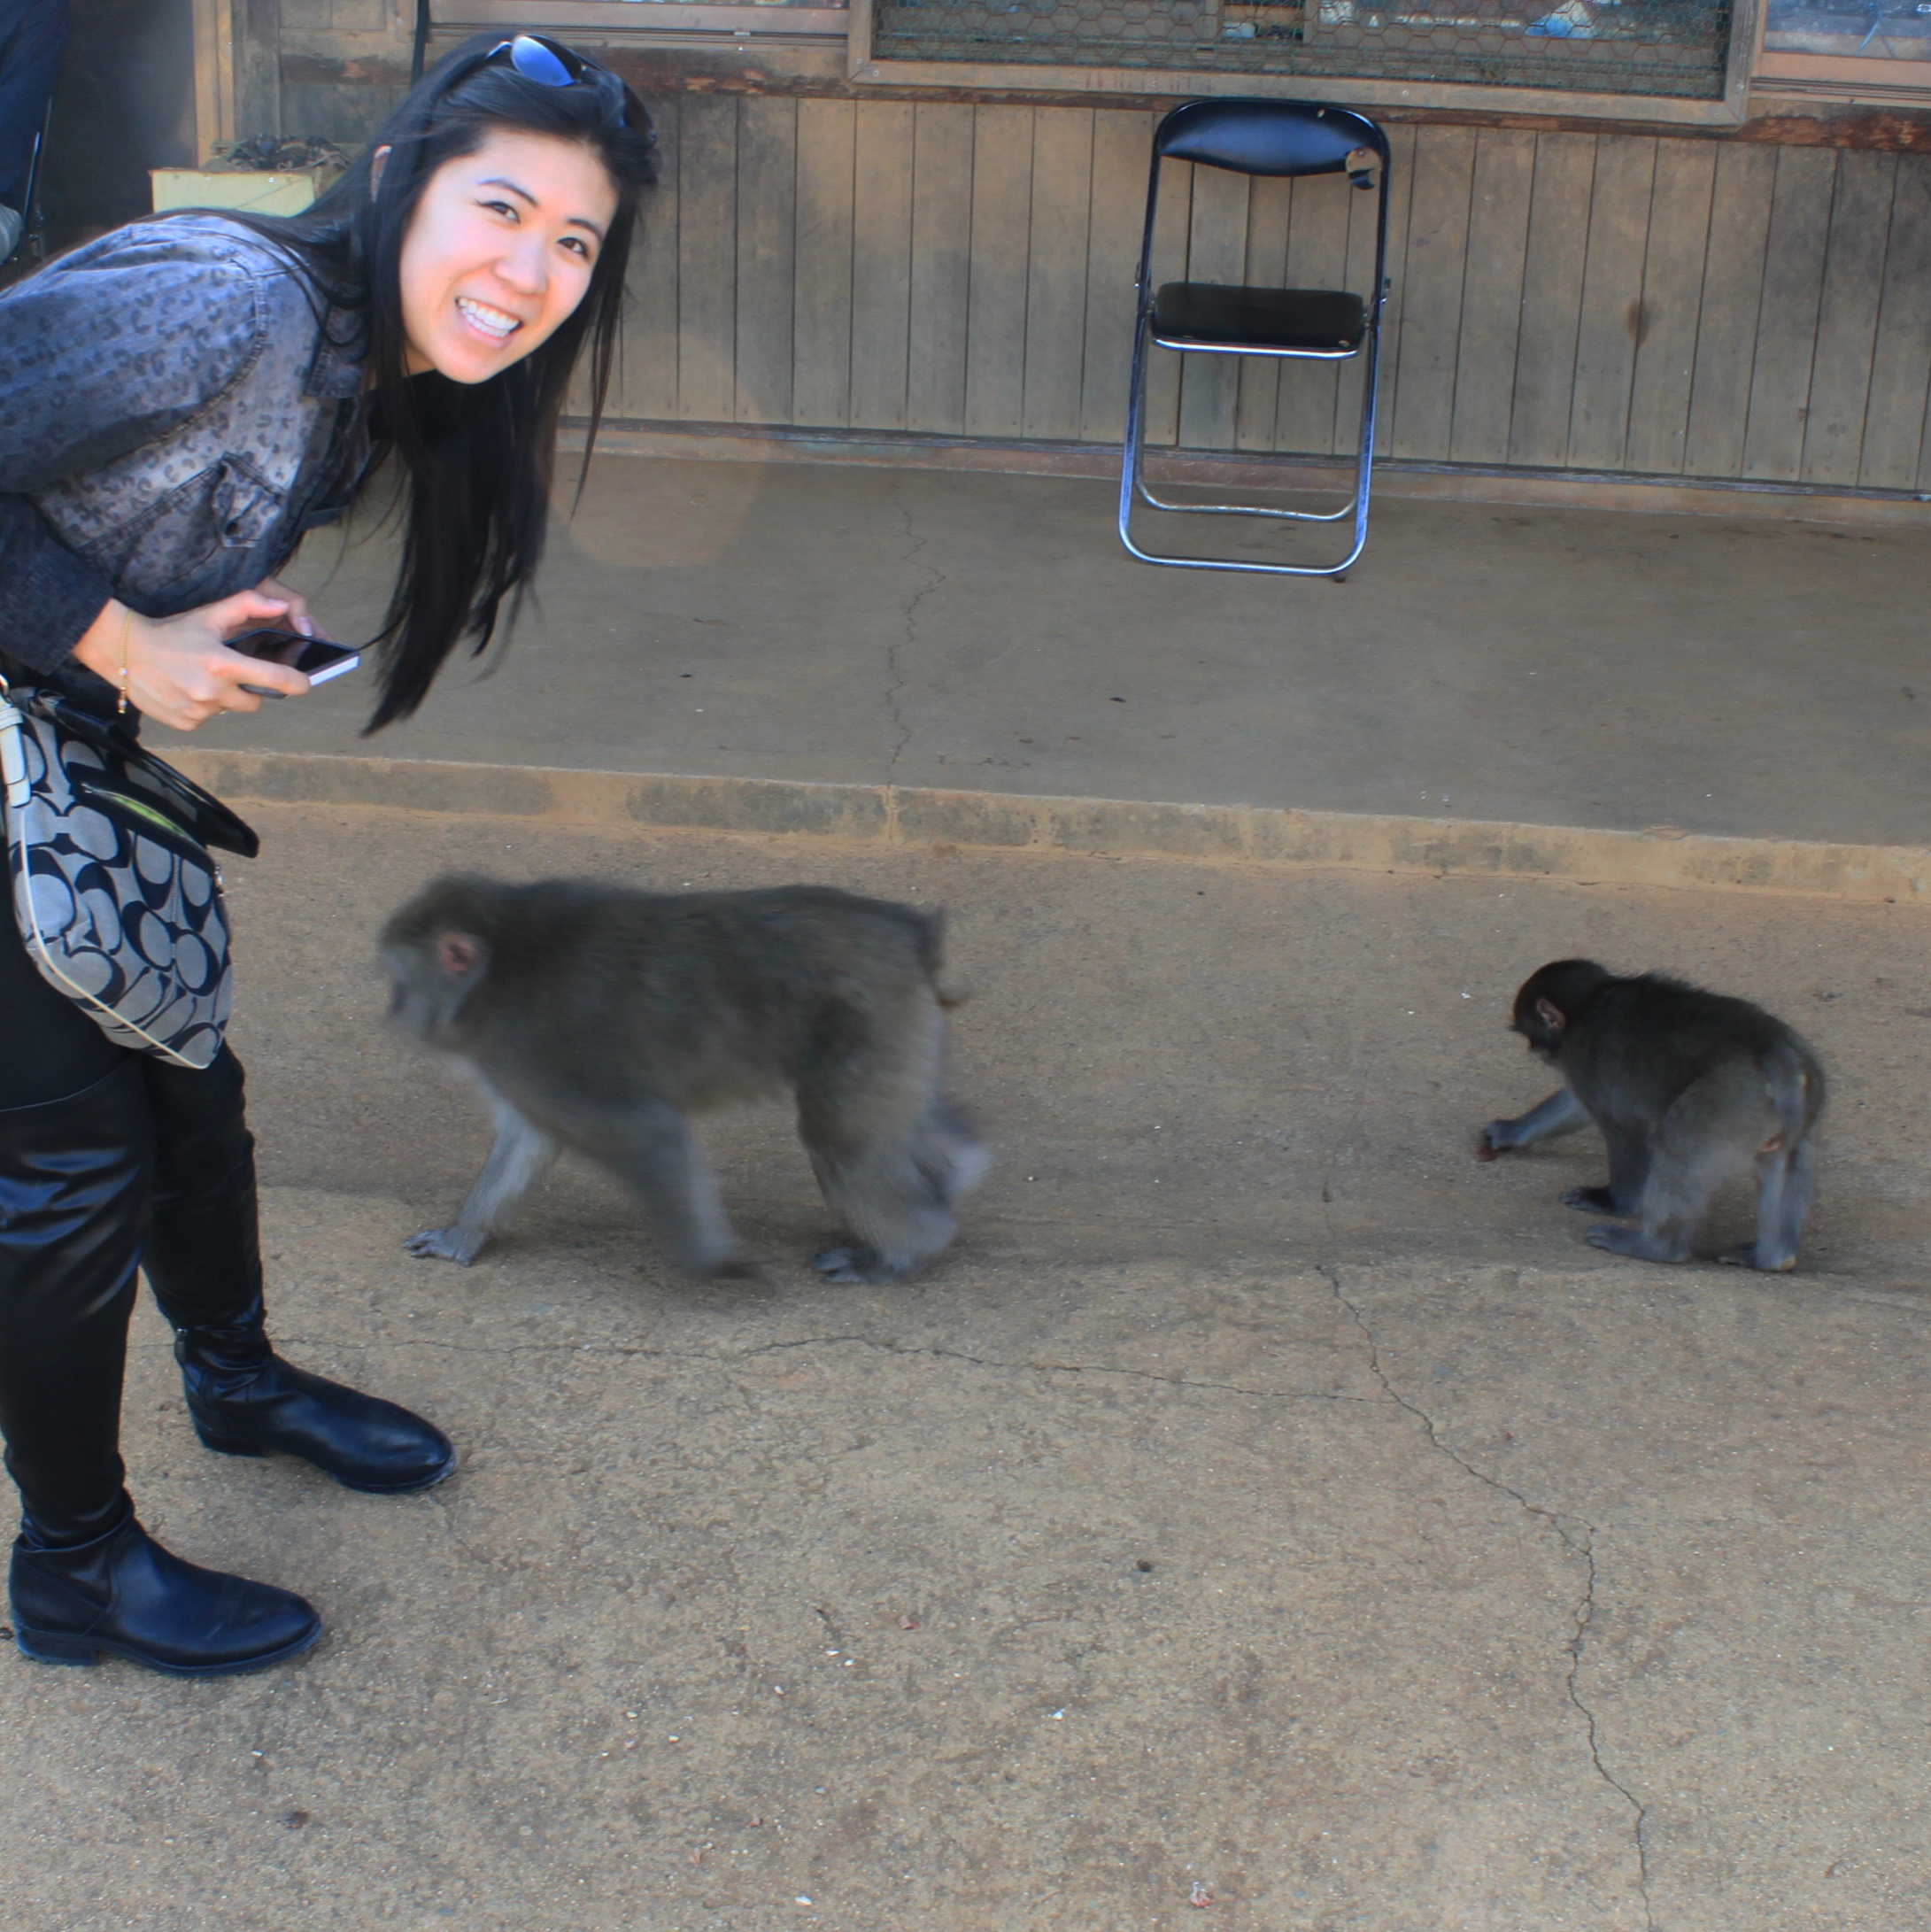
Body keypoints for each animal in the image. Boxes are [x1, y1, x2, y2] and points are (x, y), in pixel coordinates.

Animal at [376, 877, 988, 1282]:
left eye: (400, 983)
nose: (394, 1011)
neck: (500, 963)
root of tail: (908, 930)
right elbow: (530, 1139)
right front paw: (462, 1238)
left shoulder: (526, 1046)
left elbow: (645, 1133)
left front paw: (719, 1265)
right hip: (897, 1025)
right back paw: (960, 1164)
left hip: (870, 1013)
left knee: (841, 1135)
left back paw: (907, 1252)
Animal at [1475, 962, 1822, 1267]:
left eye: (1529, 1034)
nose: (1533, 1048)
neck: (1593, 999)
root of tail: (1775, 1050)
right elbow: (1577, 1105)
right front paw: (1511, 1131)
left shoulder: (1584, 1055)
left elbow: (1623, 1128)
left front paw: (1611, 1202)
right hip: (1793, 1107)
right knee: (1785, 1163)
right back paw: (1773, 1258)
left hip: (1727, 1102)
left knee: (1676, 1146)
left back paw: (1655, 1246)